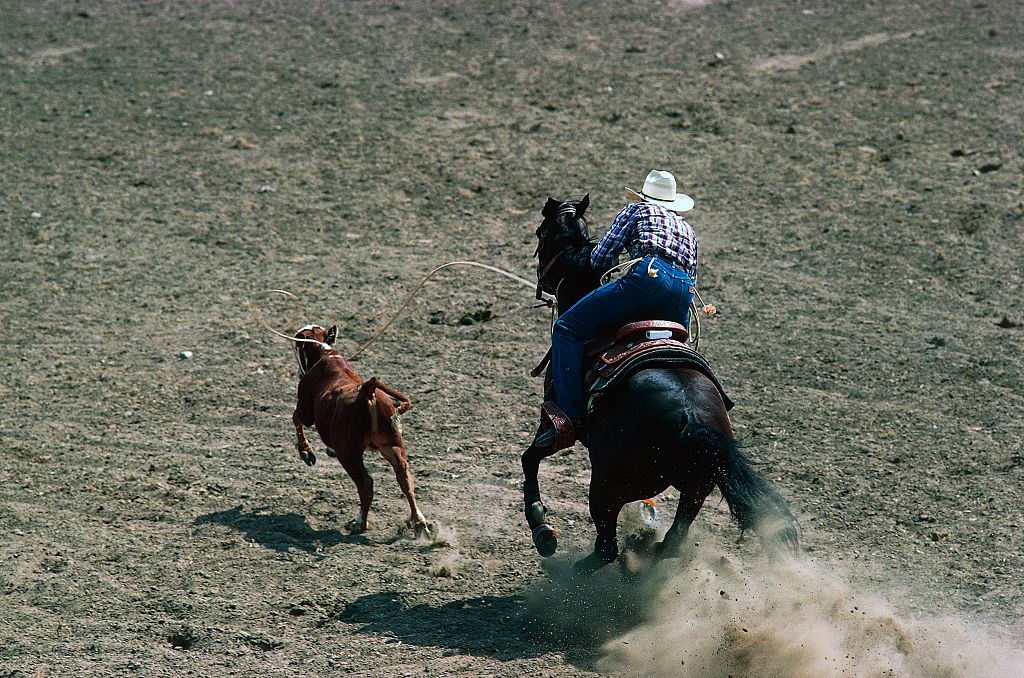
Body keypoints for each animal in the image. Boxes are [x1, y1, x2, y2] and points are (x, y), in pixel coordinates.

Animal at [292, 325, 428, 536]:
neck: (325, 354)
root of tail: (367, 390)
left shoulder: (306, 409)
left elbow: (296, 418)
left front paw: (306, 452)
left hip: (349, 453)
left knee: (366, 483)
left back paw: (360, 523)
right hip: (392, 445)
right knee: (404, 477)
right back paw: (419, 521)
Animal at [520, 195, 798, 573]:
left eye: (540, 233)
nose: (543, 282)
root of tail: (693, 420)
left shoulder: (554, 423)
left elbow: (530, 457)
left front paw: (542, 528)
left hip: (610, 484)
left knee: (607, 546)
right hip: (695, 490)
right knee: (673, 541)